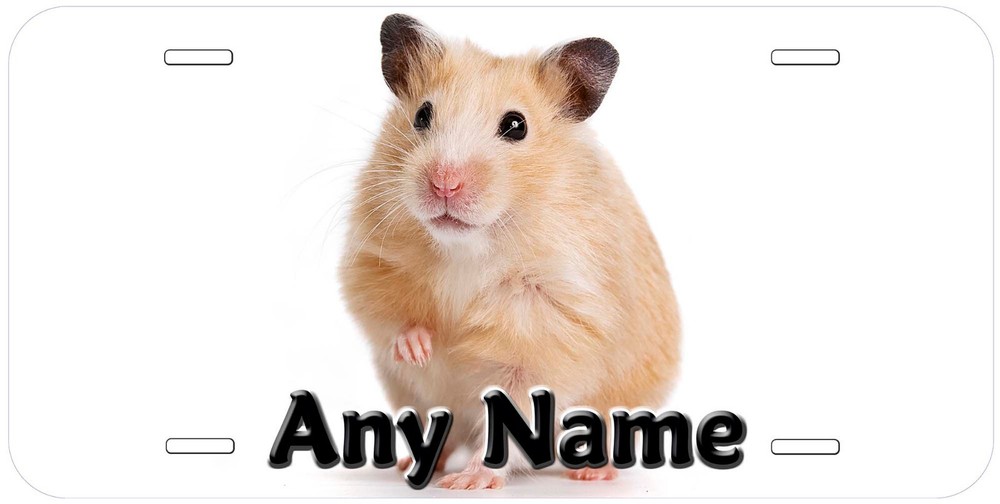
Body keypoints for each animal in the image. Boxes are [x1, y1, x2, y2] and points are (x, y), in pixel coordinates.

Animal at [339, 13, 680, 489]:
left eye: (516, 126)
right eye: (422, 115)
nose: (444, 184)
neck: (468, 246)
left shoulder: (549, 323)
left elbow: (515, 401)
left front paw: (471, 482)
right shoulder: (371, 258)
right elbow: (390, 315)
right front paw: (420, 348)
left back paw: (592, 473)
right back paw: (413, 463)